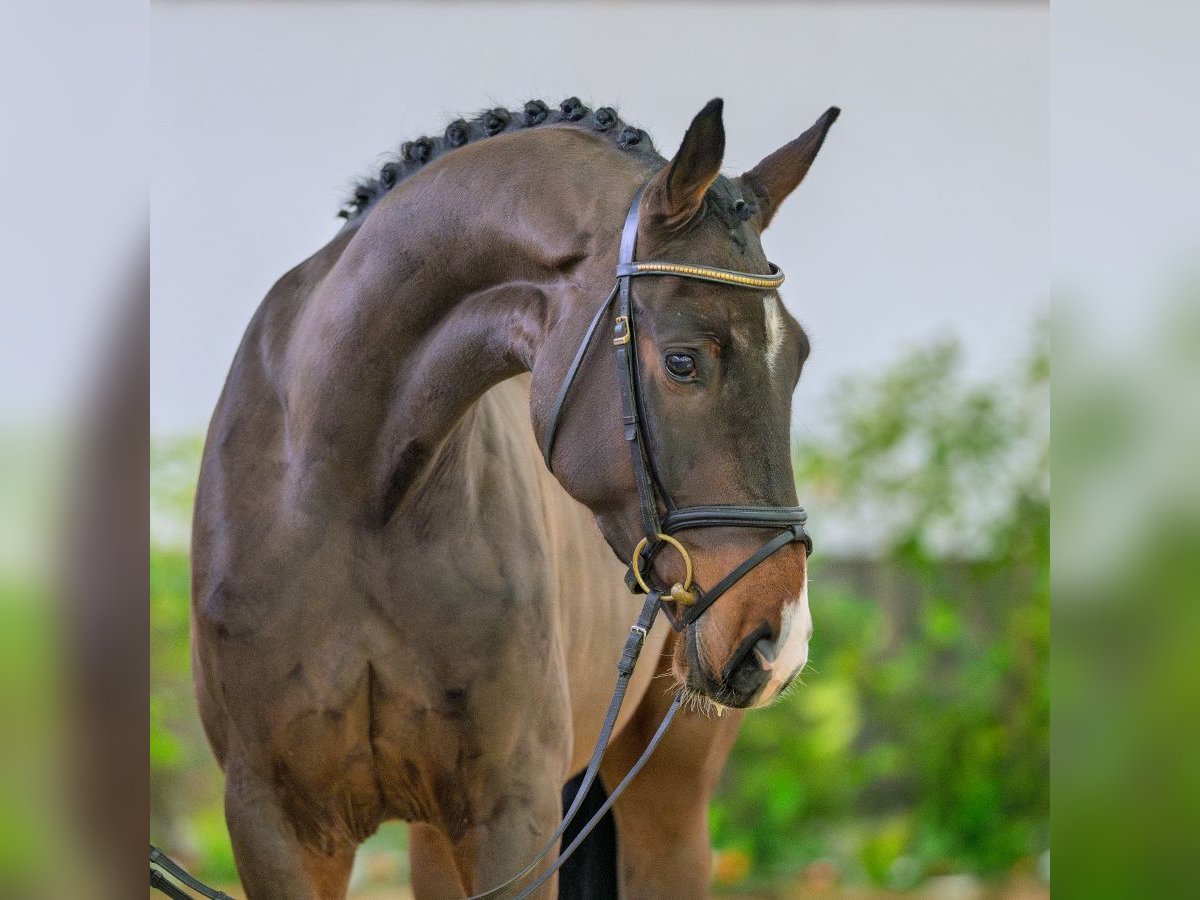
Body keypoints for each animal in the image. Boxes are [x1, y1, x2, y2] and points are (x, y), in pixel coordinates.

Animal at [192, 97, 840, 900]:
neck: (350, 499)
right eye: (684, 361)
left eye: (799, 359)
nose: (779, 642)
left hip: (666, 789)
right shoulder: (275, 821)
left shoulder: (514, 816)